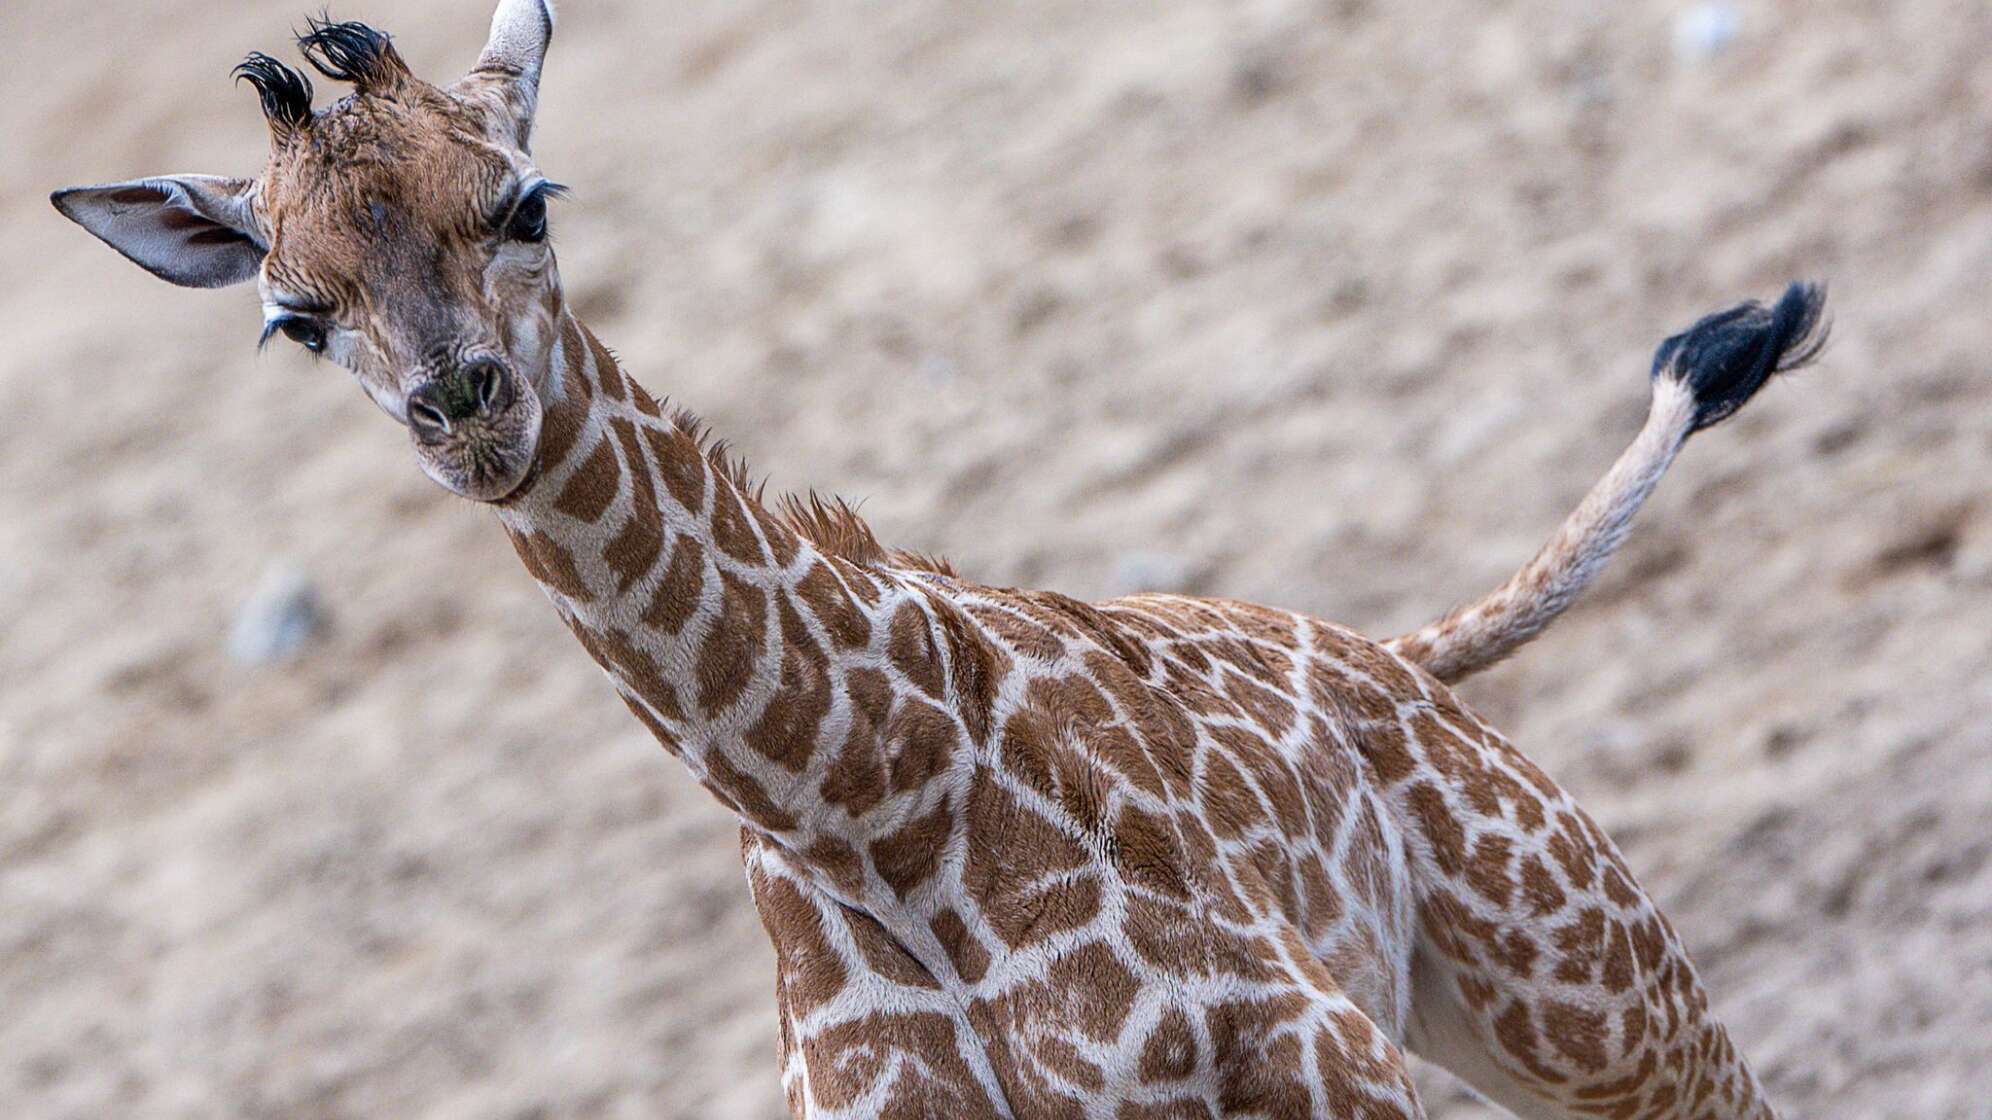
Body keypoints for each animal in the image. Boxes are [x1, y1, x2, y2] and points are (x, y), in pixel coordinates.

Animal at [46, 4, 1832, 1108]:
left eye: (527, 202)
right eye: (294, 313)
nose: (463, 408)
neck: (864, 805)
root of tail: (1385, 656)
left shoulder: (1324, 1065)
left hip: (1584, 986)